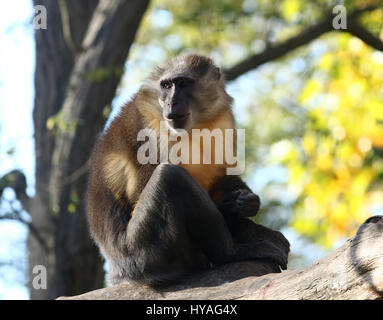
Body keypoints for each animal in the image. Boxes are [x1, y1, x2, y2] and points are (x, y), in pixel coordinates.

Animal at [88, 53, 292, 286]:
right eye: (166, 86)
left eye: (183, 83)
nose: (171, 102)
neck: (195, 127)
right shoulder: (148, 134)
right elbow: (140, 193)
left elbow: (221, 176)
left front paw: (246, 202)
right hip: (144, 253)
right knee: (170, 178)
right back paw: (231, 252)